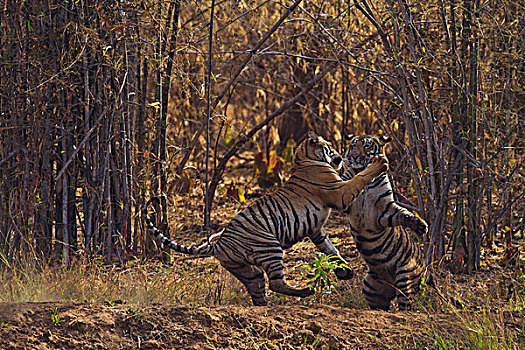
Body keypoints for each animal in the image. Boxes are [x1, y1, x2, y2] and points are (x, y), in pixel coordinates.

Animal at [143, 132, 388, 306]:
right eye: (329, 146)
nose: (341, 156)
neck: (303, 158)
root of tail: (218, 244)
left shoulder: (315, 230)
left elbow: (331, 249)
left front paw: (344, 271)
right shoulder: (339, 193)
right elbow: (359, 178)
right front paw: (379, 163)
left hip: (245, 269)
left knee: (258, 286)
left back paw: (265, 306)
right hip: (270, 247)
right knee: (276, 282)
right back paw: (305, 291)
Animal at [342, 135, 428, 312]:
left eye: (367, 146)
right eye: (353, 145)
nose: (354, 156)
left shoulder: (385, 210)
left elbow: (403, 214)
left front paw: (421, 226)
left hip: (405, 276)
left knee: (406, 304)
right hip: (370, 286)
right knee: (381, 307)